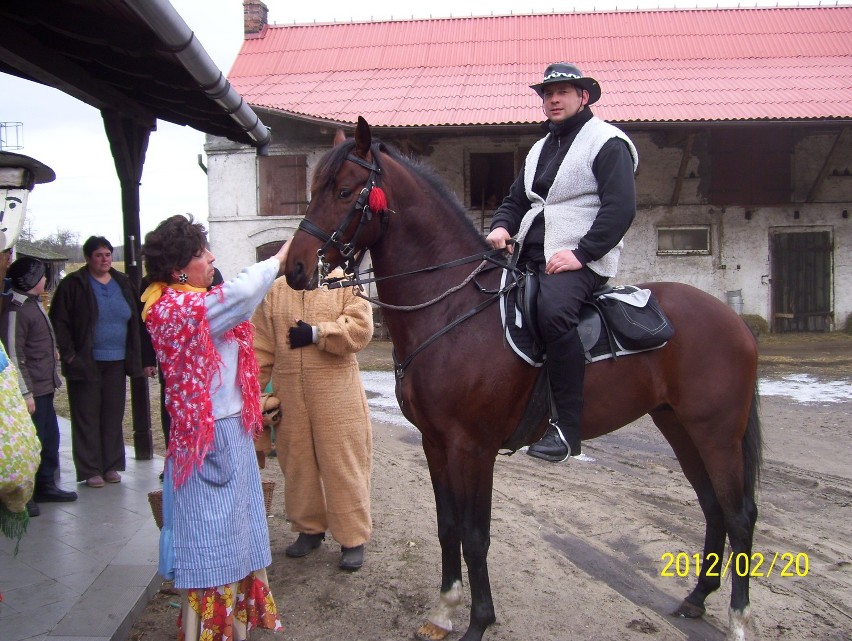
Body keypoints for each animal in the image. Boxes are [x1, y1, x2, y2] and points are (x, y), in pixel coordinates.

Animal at [282, 116, 764, 640]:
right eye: (313, 189)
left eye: (345, 191)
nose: (294, 268)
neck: (453, 310)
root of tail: (733, 321)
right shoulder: (435, 444)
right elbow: (447, 526)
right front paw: (444, 609)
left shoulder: (472, 448)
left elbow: (475, 535)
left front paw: (478, 621)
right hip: (679, 425)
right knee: (713, 507)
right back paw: (697, 598)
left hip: (715, 432)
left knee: (739, 514)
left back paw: (739, 619)